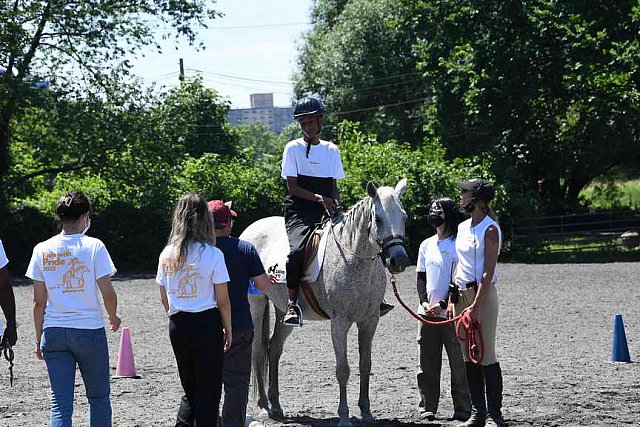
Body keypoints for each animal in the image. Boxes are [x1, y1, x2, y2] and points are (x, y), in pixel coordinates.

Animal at [240, 179, 410, 426]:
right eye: (378, 219)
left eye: (404, 218)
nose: (399, 261)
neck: (354, 259)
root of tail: (250, 229)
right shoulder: (339, 322)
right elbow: (343, 369)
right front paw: (344, 416)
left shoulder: (370, 321)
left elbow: (365, 365)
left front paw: (366, 413)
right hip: (257, 304)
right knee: (258, 351)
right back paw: (263, 407)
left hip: (283, 312)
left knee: (274, 348)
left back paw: (277, 406)